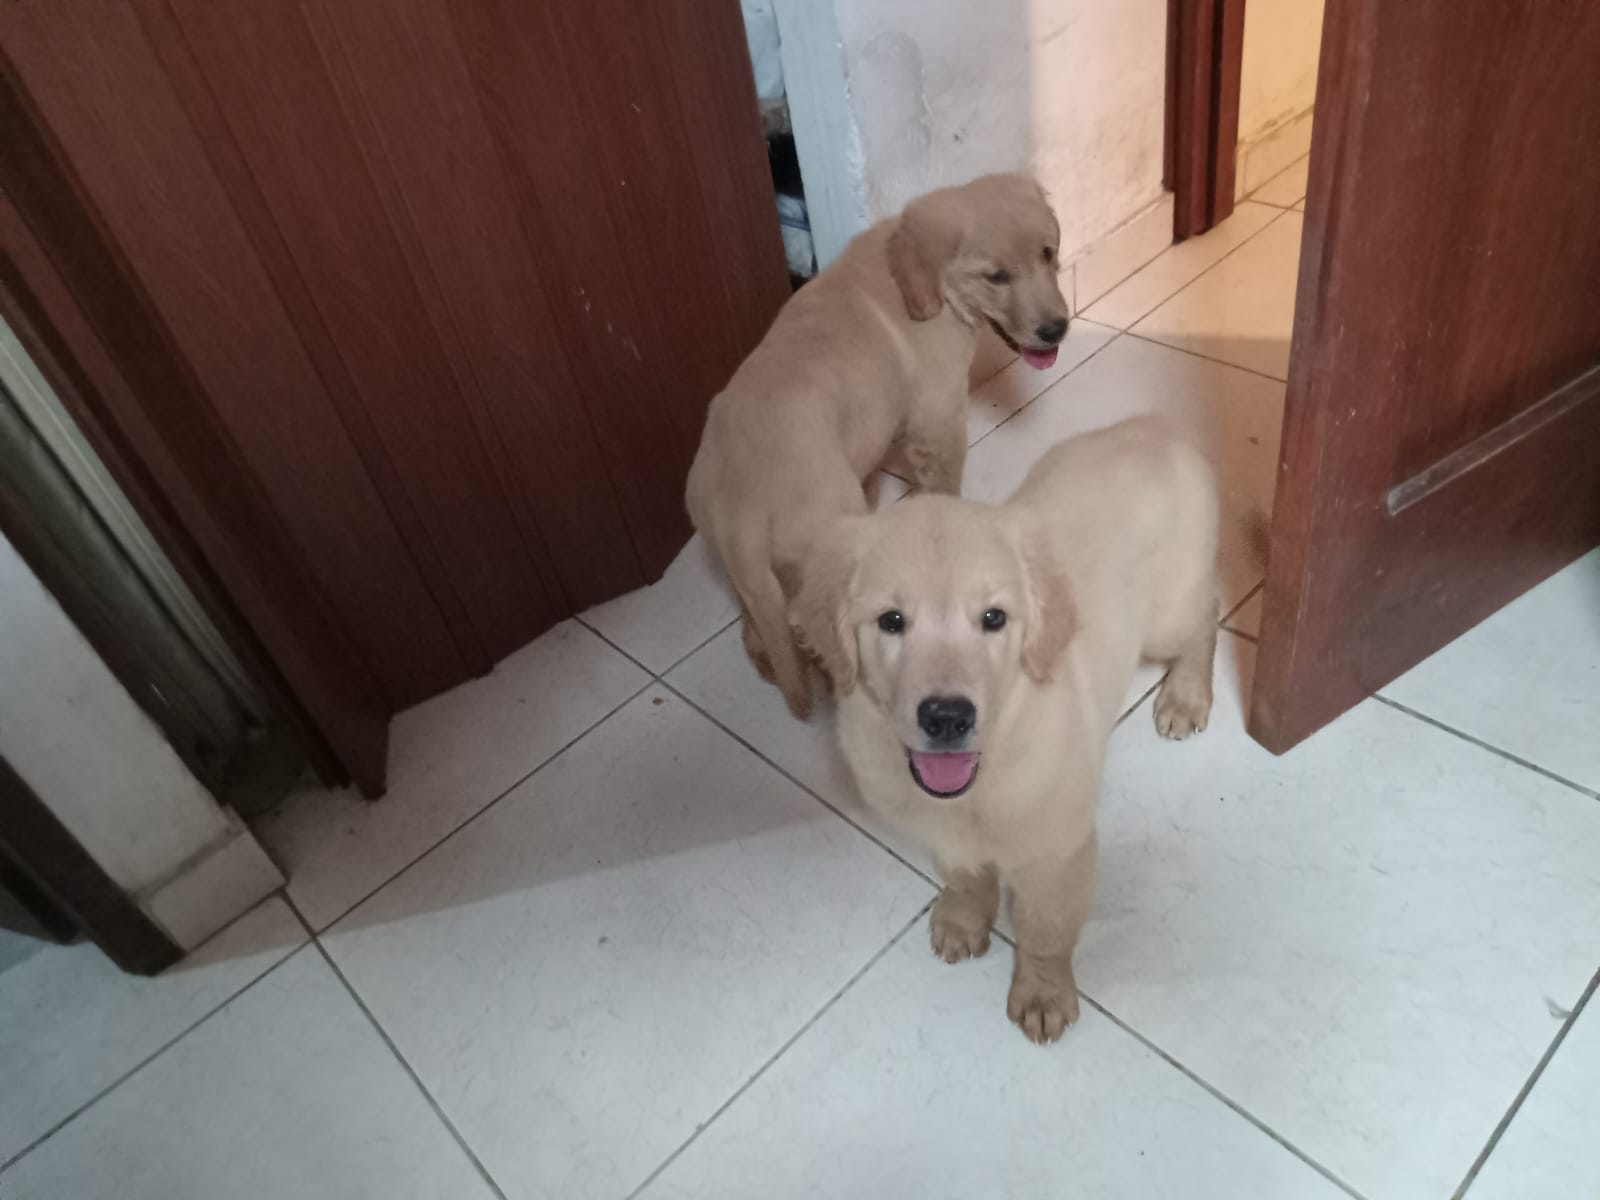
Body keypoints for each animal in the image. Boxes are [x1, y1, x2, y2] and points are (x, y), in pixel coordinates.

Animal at [684, 175, 1068, 720]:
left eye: (1048, 254)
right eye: (996, 276)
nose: (1057, 329)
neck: (920, 284)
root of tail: (742, 514)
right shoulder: (938, 420)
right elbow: (944, 485)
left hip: (735, 565)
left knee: (759, 627)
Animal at [793, 419, 1216, 1049]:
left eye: (994, 618)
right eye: (892, 621)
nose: (947, 717)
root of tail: (1152, 427)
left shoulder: (1058, 852)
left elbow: (1045, 929)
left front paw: (1042, 994)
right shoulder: (944, 830)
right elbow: (967, 875)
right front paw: (966, 918)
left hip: (1170, 612)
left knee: (1207, 615)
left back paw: (1186, 695)